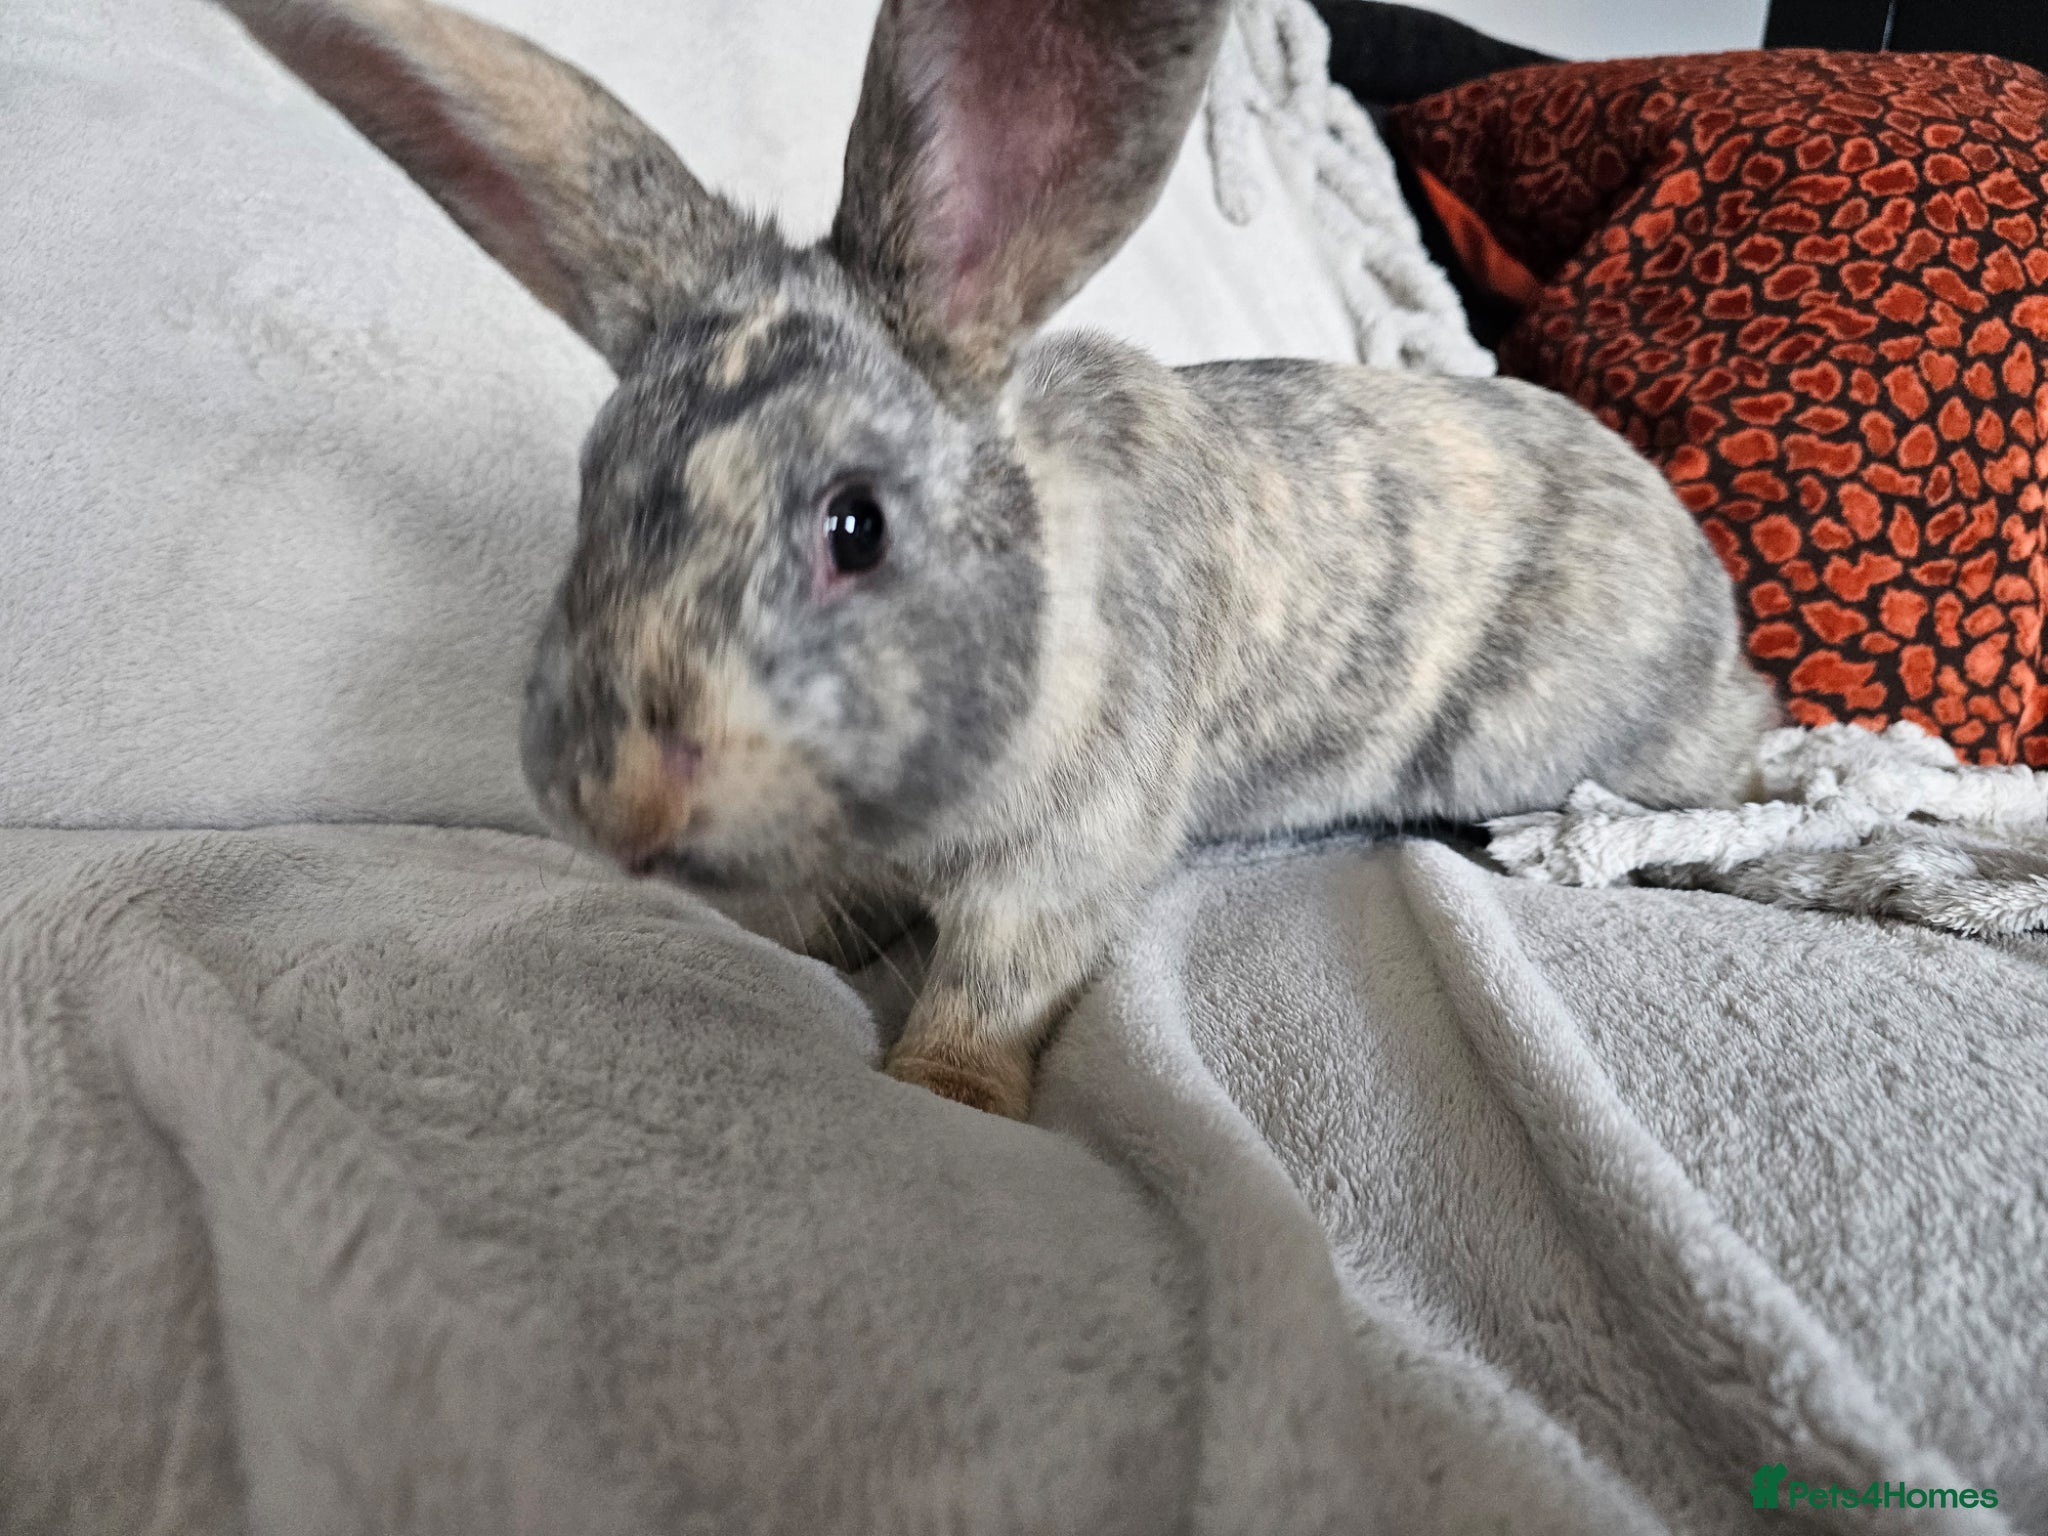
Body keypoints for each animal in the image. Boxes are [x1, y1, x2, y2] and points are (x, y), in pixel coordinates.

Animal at [217, 0, 1778, 1119]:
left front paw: (944, 1091)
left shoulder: (1064, 856)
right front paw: (802, 949)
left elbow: (996, 979)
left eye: (855, 525)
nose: (618, 800)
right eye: (592, 485)